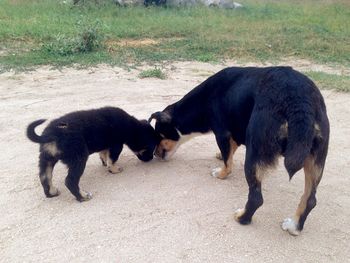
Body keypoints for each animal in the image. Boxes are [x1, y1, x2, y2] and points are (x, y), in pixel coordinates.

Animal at [26, 106, 161, 202]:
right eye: (151, 148)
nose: (151, 159)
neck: (131, 127)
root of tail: (51, 135)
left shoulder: (107, 146)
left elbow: (104, 155)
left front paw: (104, 163)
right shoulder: (116, 145)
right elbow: (112, 159)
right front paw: (114, 170)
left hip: (46, 159)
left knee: (45, 177)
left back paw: (52, 193)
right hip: (79, 158)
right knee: (70, 181)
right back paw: (83, 197)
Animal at [149, 67, 330, 236]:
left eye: (158, 134)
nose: (154, 154)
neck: (204, 100)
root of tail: (300, 102)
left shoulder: (222, 133)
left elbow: (228, 163)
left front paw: (221, 173)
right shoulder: (234, 132)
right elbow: (230, 152)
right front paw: (220, 156)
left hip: (254, 153)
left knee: (256, 199)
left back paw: (242, 218)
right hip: (316, 161)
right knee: (310, 200)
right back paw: (294, 226)